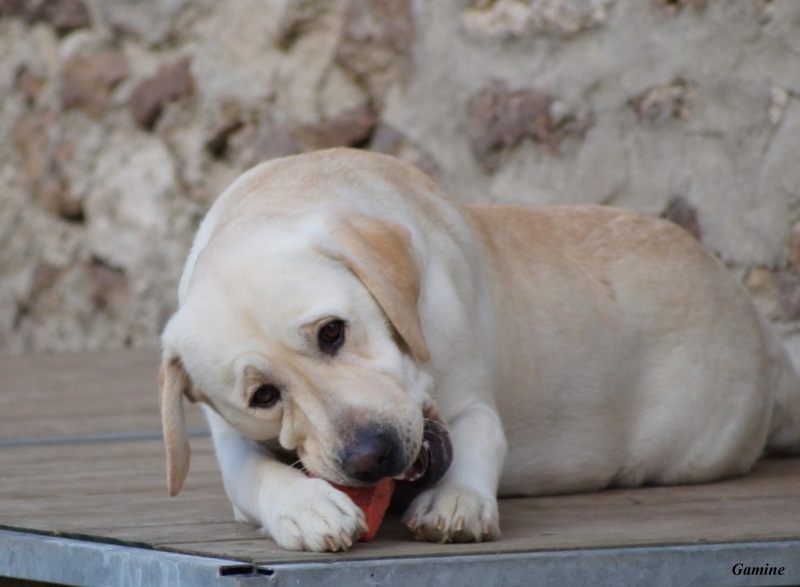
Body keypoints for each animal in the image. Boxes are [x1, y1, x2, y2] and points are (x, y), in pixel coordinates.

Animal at [159, 147, 800, 552]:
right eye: (264, 396)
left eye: (332, 332)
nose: (371, 457)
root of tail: (760, 325)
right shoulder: (232, 447)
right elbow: (257, 474)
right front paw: (308, 506)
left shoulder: (472, 404)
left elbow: (477, 441)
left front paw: (457, 501)